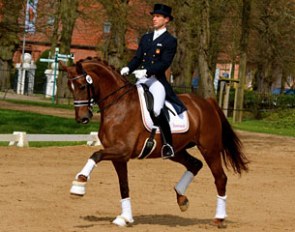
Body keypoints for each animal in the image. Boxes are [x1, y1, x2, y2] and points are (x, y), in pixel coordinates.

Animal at [60, 57, 250, 227]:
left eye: (82, 86)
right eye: (70, 87)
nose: (82, 118)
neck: (118, 105)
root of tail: (207, 103)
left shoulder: (122, 150)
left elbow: (96, 154)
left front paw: (79, 185)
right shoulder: (119, 157)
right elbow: (124, 186)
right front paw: (125, 218)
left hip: (209, 149)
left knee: (220, 178)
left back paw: (219, 218)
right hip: (176, 151)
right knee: (195, 164)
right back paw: (181, 198)